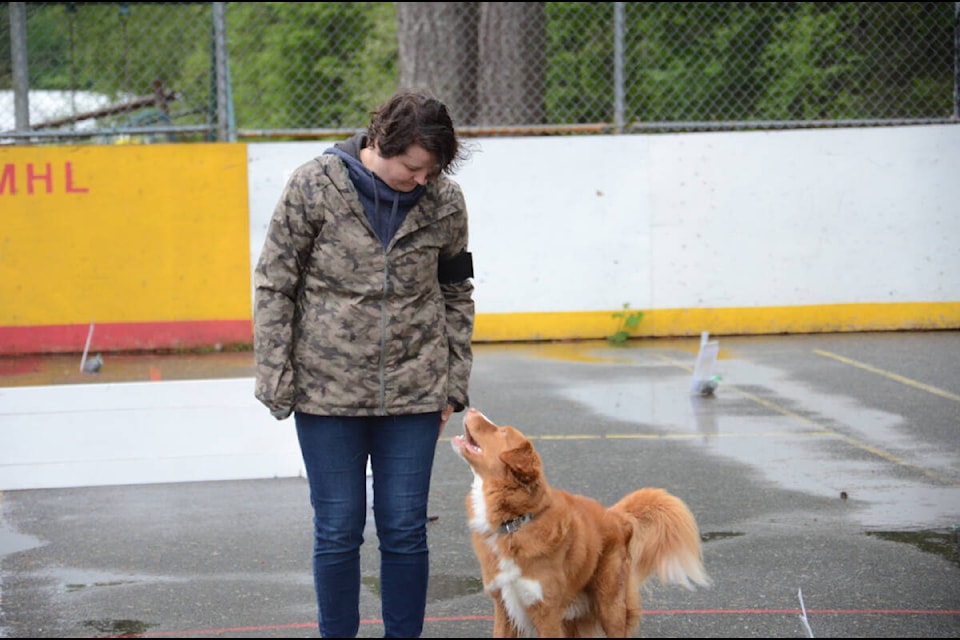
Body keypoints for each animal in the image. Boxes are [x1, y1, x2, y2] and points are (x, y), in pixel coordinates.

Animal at [448, 408, 704, 636]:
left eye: (502, 431)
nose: (471, 408)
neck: (515, 522)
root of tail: (615, 515)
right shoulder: (504, 607)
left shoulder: (547, 613)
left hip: (610, 605)